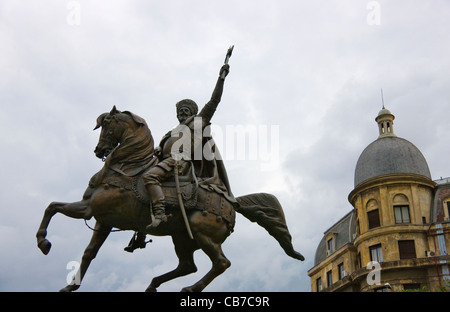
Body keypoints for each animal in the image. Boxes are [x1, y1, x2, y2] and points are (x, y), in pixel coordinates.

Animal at [36, 106, 306, 292]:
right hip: (182, 237)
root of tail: (233, 202)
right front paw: (69, 285)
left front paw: (43, 242)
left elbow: (53, 208)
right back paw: (153, 284)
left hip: (200, 231)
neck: (128, 166)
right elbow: (86, 250)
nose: (99, 151)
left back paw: (190, 288)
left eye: (108, 126)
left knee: (221, 263)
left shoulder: (91, 209)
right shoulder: (102, 219)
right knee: (188, 266)